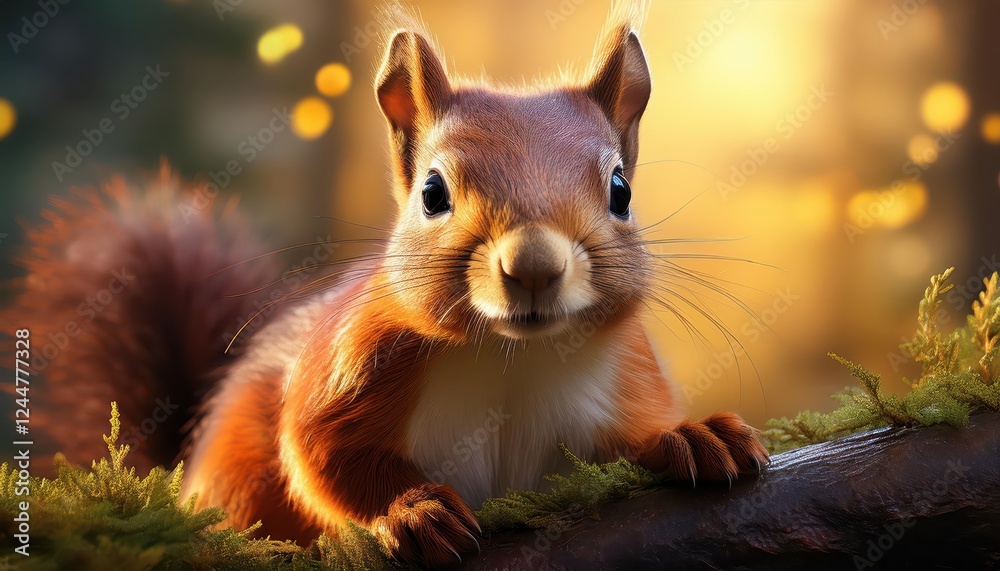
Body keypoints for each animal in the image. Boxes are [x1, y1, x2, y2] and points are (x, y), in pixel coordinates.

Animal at [2, 4, 768, 568]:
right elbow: (322, 455)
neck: (510, 357)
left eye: (620, 190)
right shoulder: (351, 365)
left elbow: (641, 429)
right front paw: (412, 509)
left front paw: (694, 434)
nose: (534, 266)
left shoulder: (624, 373)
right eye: (432, 193)